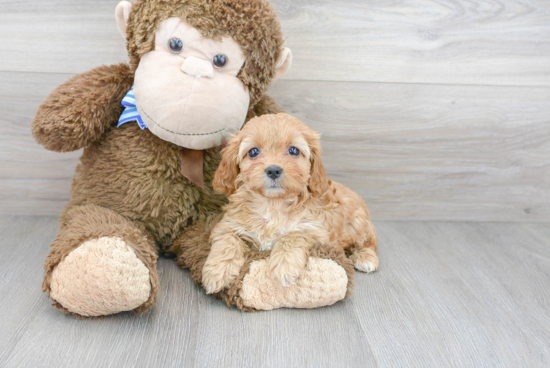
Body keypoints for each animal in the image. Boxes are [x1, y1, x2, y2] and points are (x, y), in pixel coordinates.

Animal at [203, 112, 380, 294]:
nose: (273, 170)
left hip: (359, 225)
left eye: (293, 150)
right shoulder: (229, 224)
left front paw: (284, 265)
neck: (272, 203)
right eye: (253, 152)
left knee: (370, 244)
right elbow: (227, 240)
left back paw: (366, 258)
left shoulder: (316, 230)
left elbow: (293, 235)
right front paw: (217, 272)